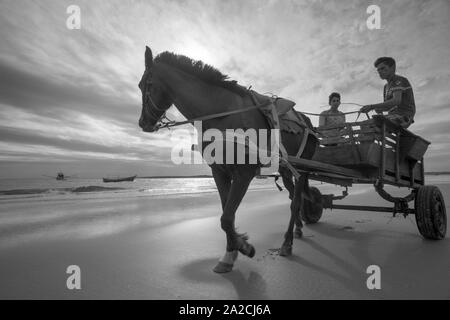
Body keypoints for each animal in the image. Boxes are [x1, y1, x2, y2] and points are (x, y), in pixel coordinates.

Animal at [139, 46, 318, 272]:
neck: (222, 113)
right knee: (294, 195)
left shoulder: (244, 173)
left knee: (296, 202)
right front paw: (232, 251)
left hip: (301, 169)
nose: (142, 122)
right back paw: (298, 229)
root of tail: (307, 121)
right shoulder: (219, 171)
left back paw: (287, 243)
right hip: (286, 169)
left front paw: (243, 247)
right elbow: (227, 215)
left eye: (146, 85)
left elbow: (226, 217)